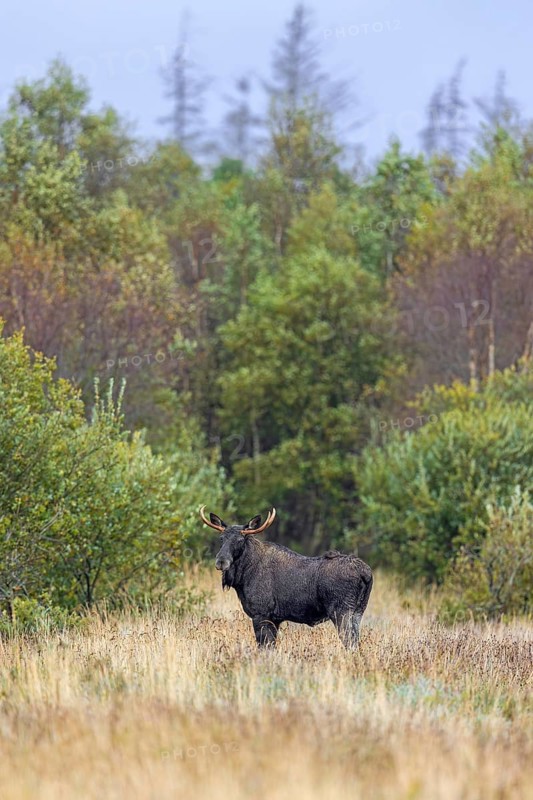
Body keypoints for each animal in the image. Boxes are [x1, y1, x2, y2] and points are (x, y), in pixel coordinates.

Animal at [199, 506, 373, 649]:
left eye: (240, 540)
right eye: (221, 539)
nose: (221, 561)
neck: (243, 577)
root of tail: (366, 573)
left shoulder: (261, 614)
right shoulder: (275, 619)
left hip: (341, 611)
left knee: (350, 643)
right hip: (358, 612)